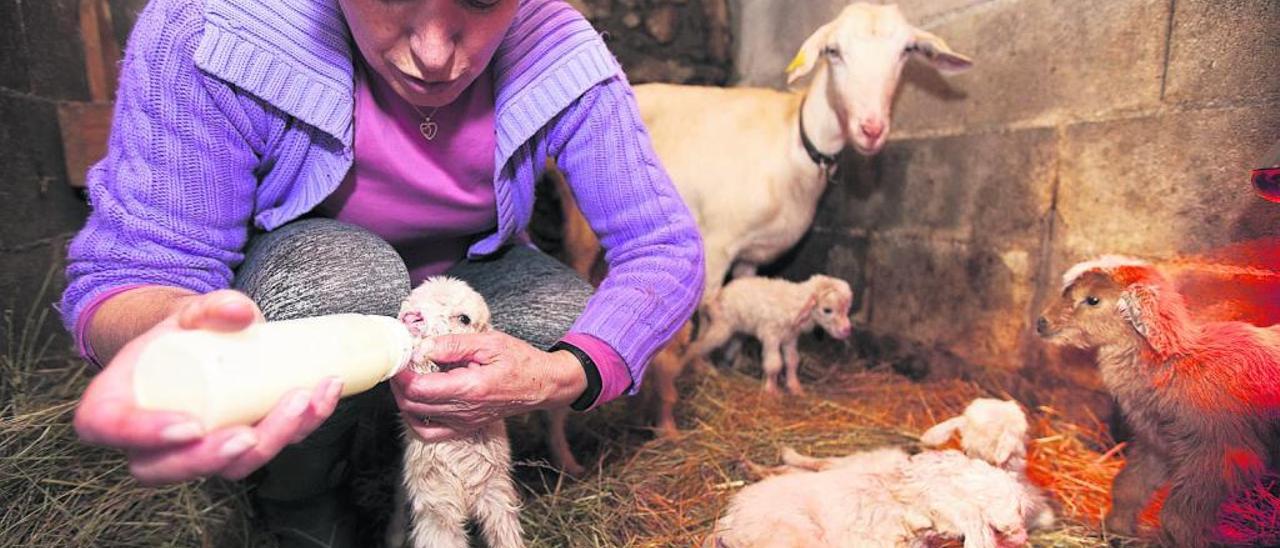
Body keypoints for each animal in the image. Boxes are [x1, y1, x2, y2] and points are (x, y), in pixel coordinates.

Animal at [386, 277, 522, 548]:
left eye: (464, 319)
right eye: (413, 300)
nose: (412, 317)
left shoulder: (496, 492)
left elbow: (505, 536)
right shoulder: (435, 504)